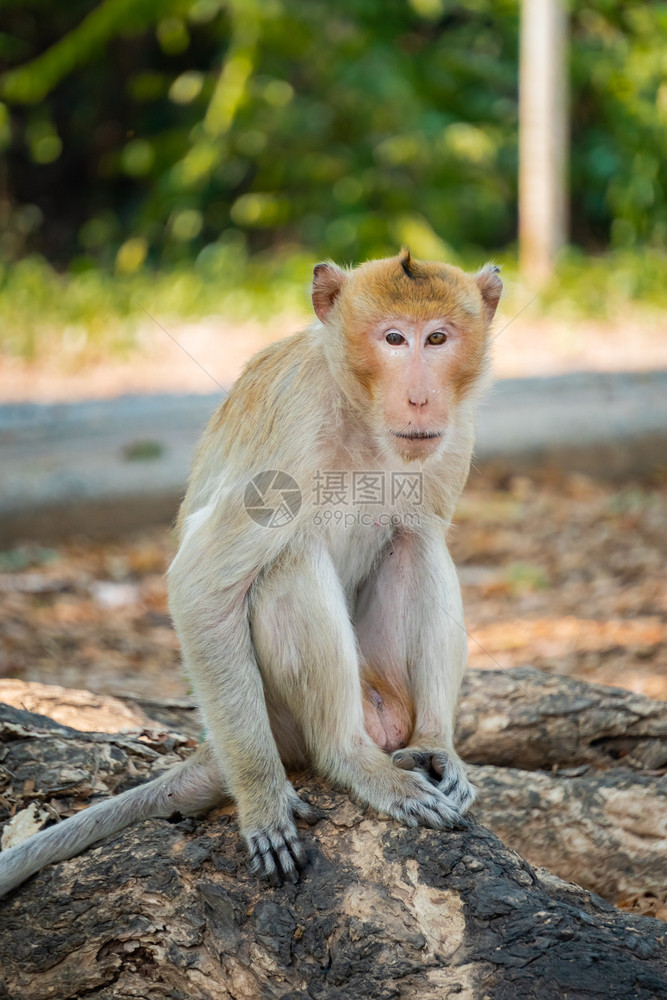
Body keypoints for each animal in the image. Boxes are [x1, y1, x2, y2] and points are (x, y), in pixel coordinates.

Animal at [0, 246, 500, 896]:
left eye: (437, 338)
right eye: (394, 339)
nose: (420, 398)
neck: (357, 411)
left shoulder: (454, 435)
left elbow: (421, 533)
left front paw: (444, 749)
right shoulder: (292, 431)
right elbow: (200, 589)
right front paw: (263, 799)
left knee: (416, 541)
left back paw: (429, 746)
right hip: (283, 717)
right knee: (291, 563)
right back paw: (350, 760)